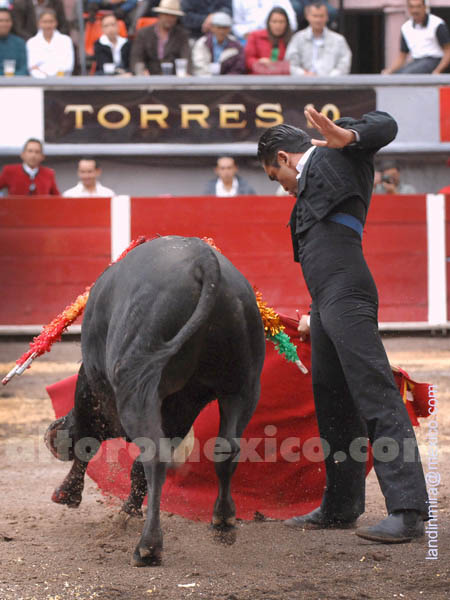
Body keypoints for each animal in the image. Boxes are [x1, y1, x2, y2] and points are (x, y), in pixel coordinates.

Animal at [44, 237, 266, 564]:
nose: (52, 433)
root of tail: (204, 261)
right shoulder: (179, 411)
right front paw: (127, 510)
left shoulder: (93, 387)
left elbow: (88, 439)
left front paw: (67, 492)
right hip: (243, 387)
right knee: (226, 449)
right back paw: (223, 522)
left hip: (139, 386)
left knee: (155, 458)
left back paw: (148, 547)